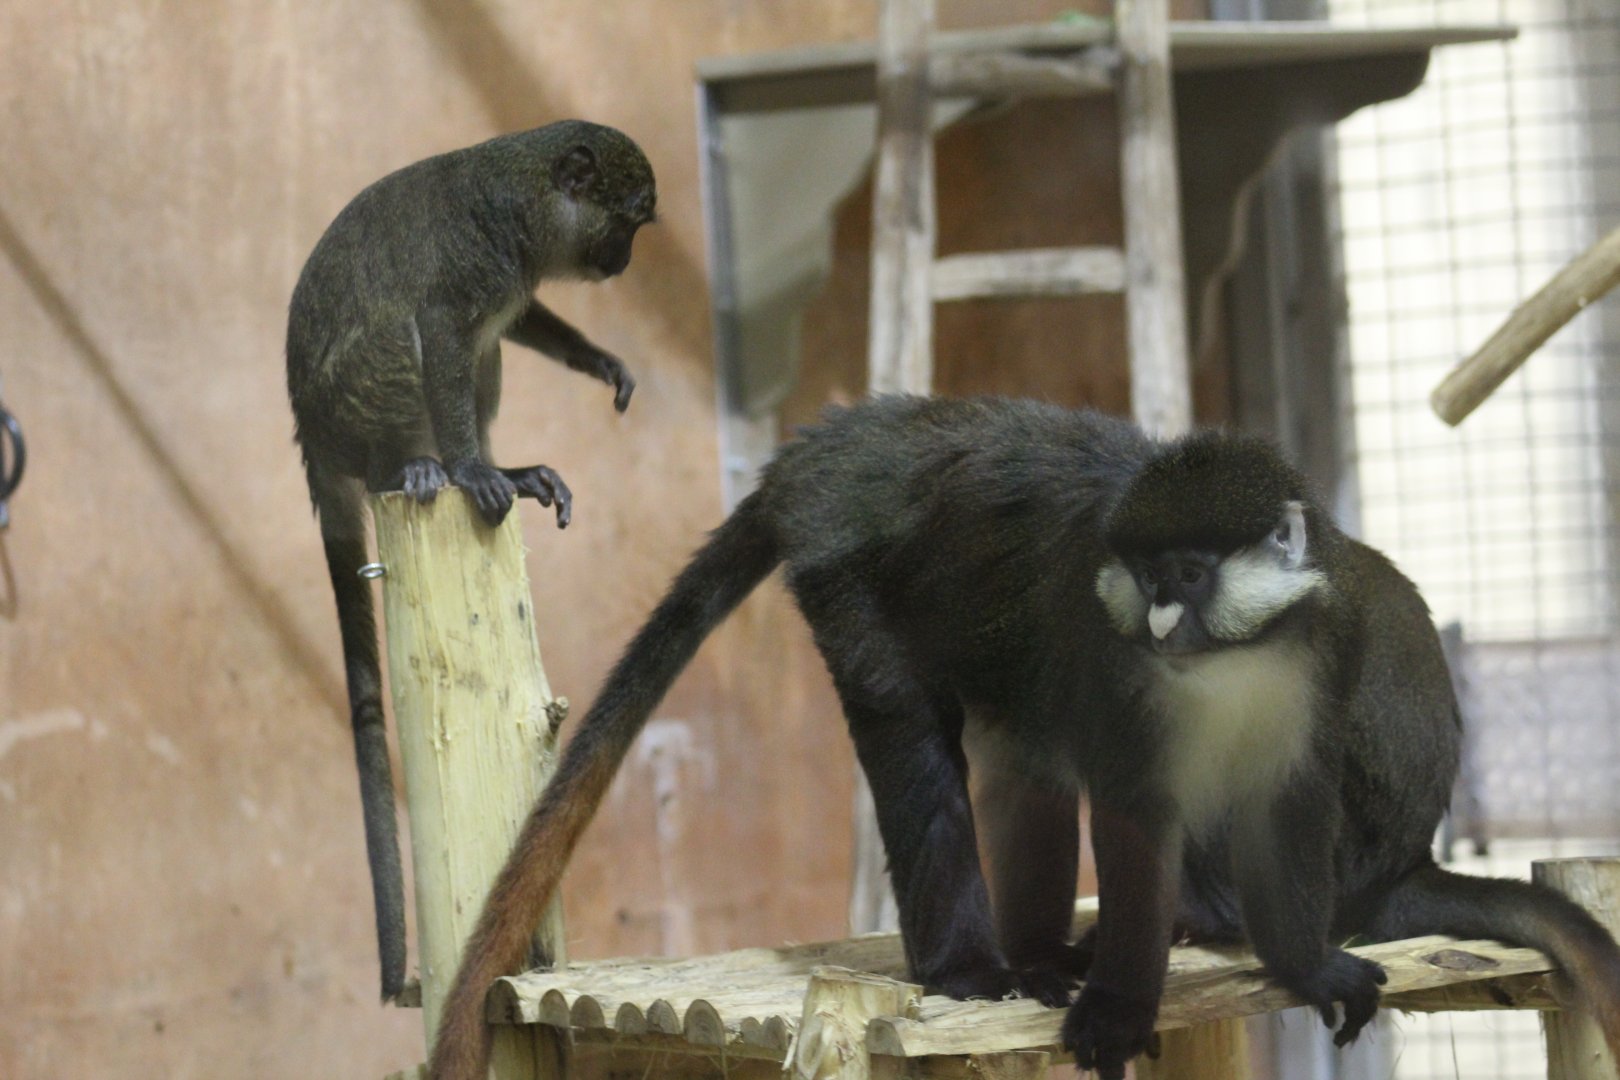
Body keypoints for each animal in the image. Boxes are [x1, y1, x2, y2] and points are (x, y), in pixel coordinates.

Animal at [284, 120, 656, 1002]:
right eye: (626, 222)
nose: (624, 261)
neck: (525, 195)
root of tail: (313, 436)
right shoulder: (476, 262)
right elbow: (445, 331)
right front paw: (469, 470)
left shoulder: (514, 279)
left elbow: (514, 327)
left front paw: (595, 358)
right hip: (354, 406)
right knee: (405, 342)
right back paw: (420, 470)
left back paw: (505, 469)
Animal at [424, 395, 1620, 1079]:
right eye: (1147, 580)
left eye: (1190, 576)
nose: (1161, 621)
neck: (1235, 654)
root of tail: (828, 450)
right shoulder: (1110, 646)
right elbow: (1134, 809)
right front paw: (1120, 1003)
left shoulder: (1321, 650)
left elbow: (1287, 791)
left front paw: (1303, 961)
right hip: (844, 573)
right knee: (913, 732)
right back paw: (971, 965)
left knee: (1023, 750)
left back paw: (1056, 948)